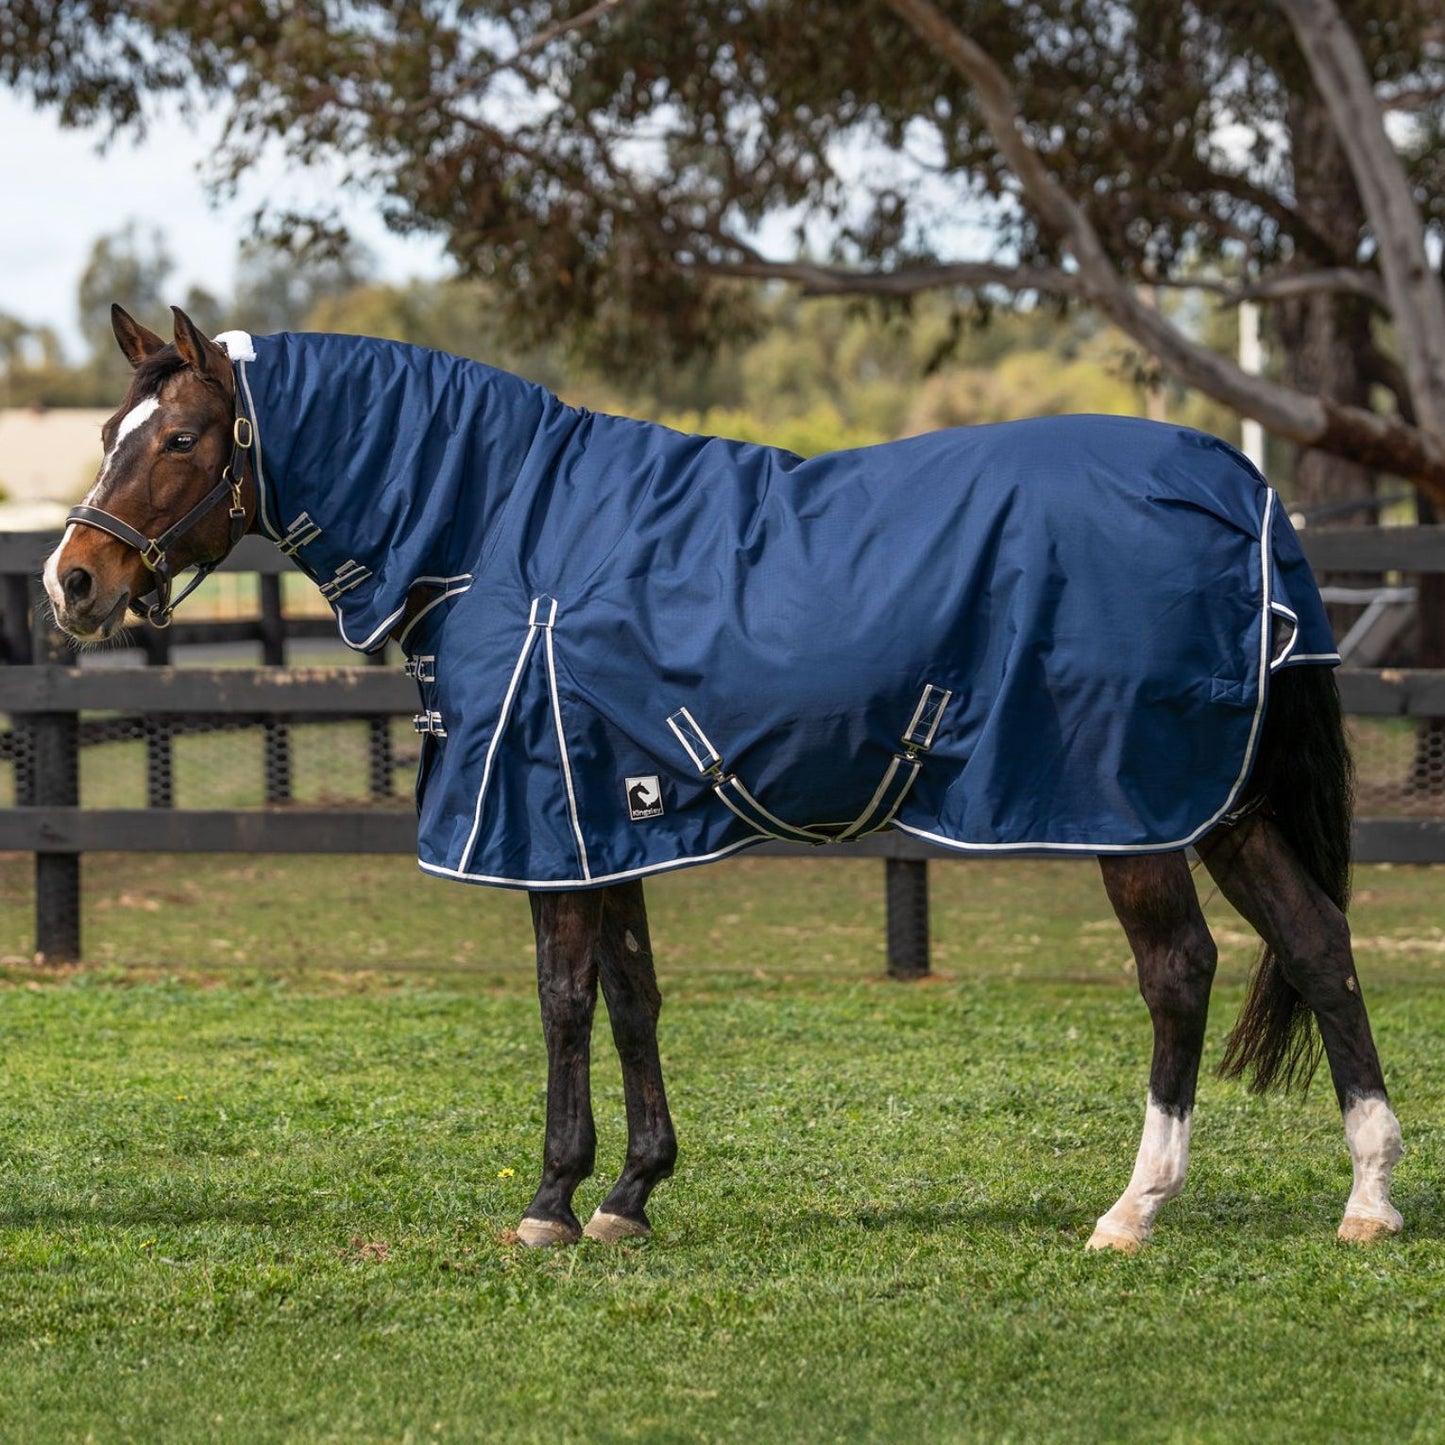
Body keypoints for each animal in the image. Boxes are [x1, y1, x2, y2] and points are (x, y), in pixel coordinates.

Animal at [41, 304, 1404, 1253]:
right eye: (108, 435)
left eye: (178, 438)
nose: (71, 582)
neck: (501, 525)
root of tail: (1237, 485)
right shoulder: (609, 817)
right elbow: (635, 997)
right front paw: (631, 1193)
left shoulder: (544, 817)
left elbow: (564, 999)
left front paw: (549, 1198)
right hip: (1222, 803)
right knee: (1317, 942)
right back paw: (1369, 1196)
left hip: (1127, 807)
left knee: (1179, 971)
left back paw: (1133, 1206)